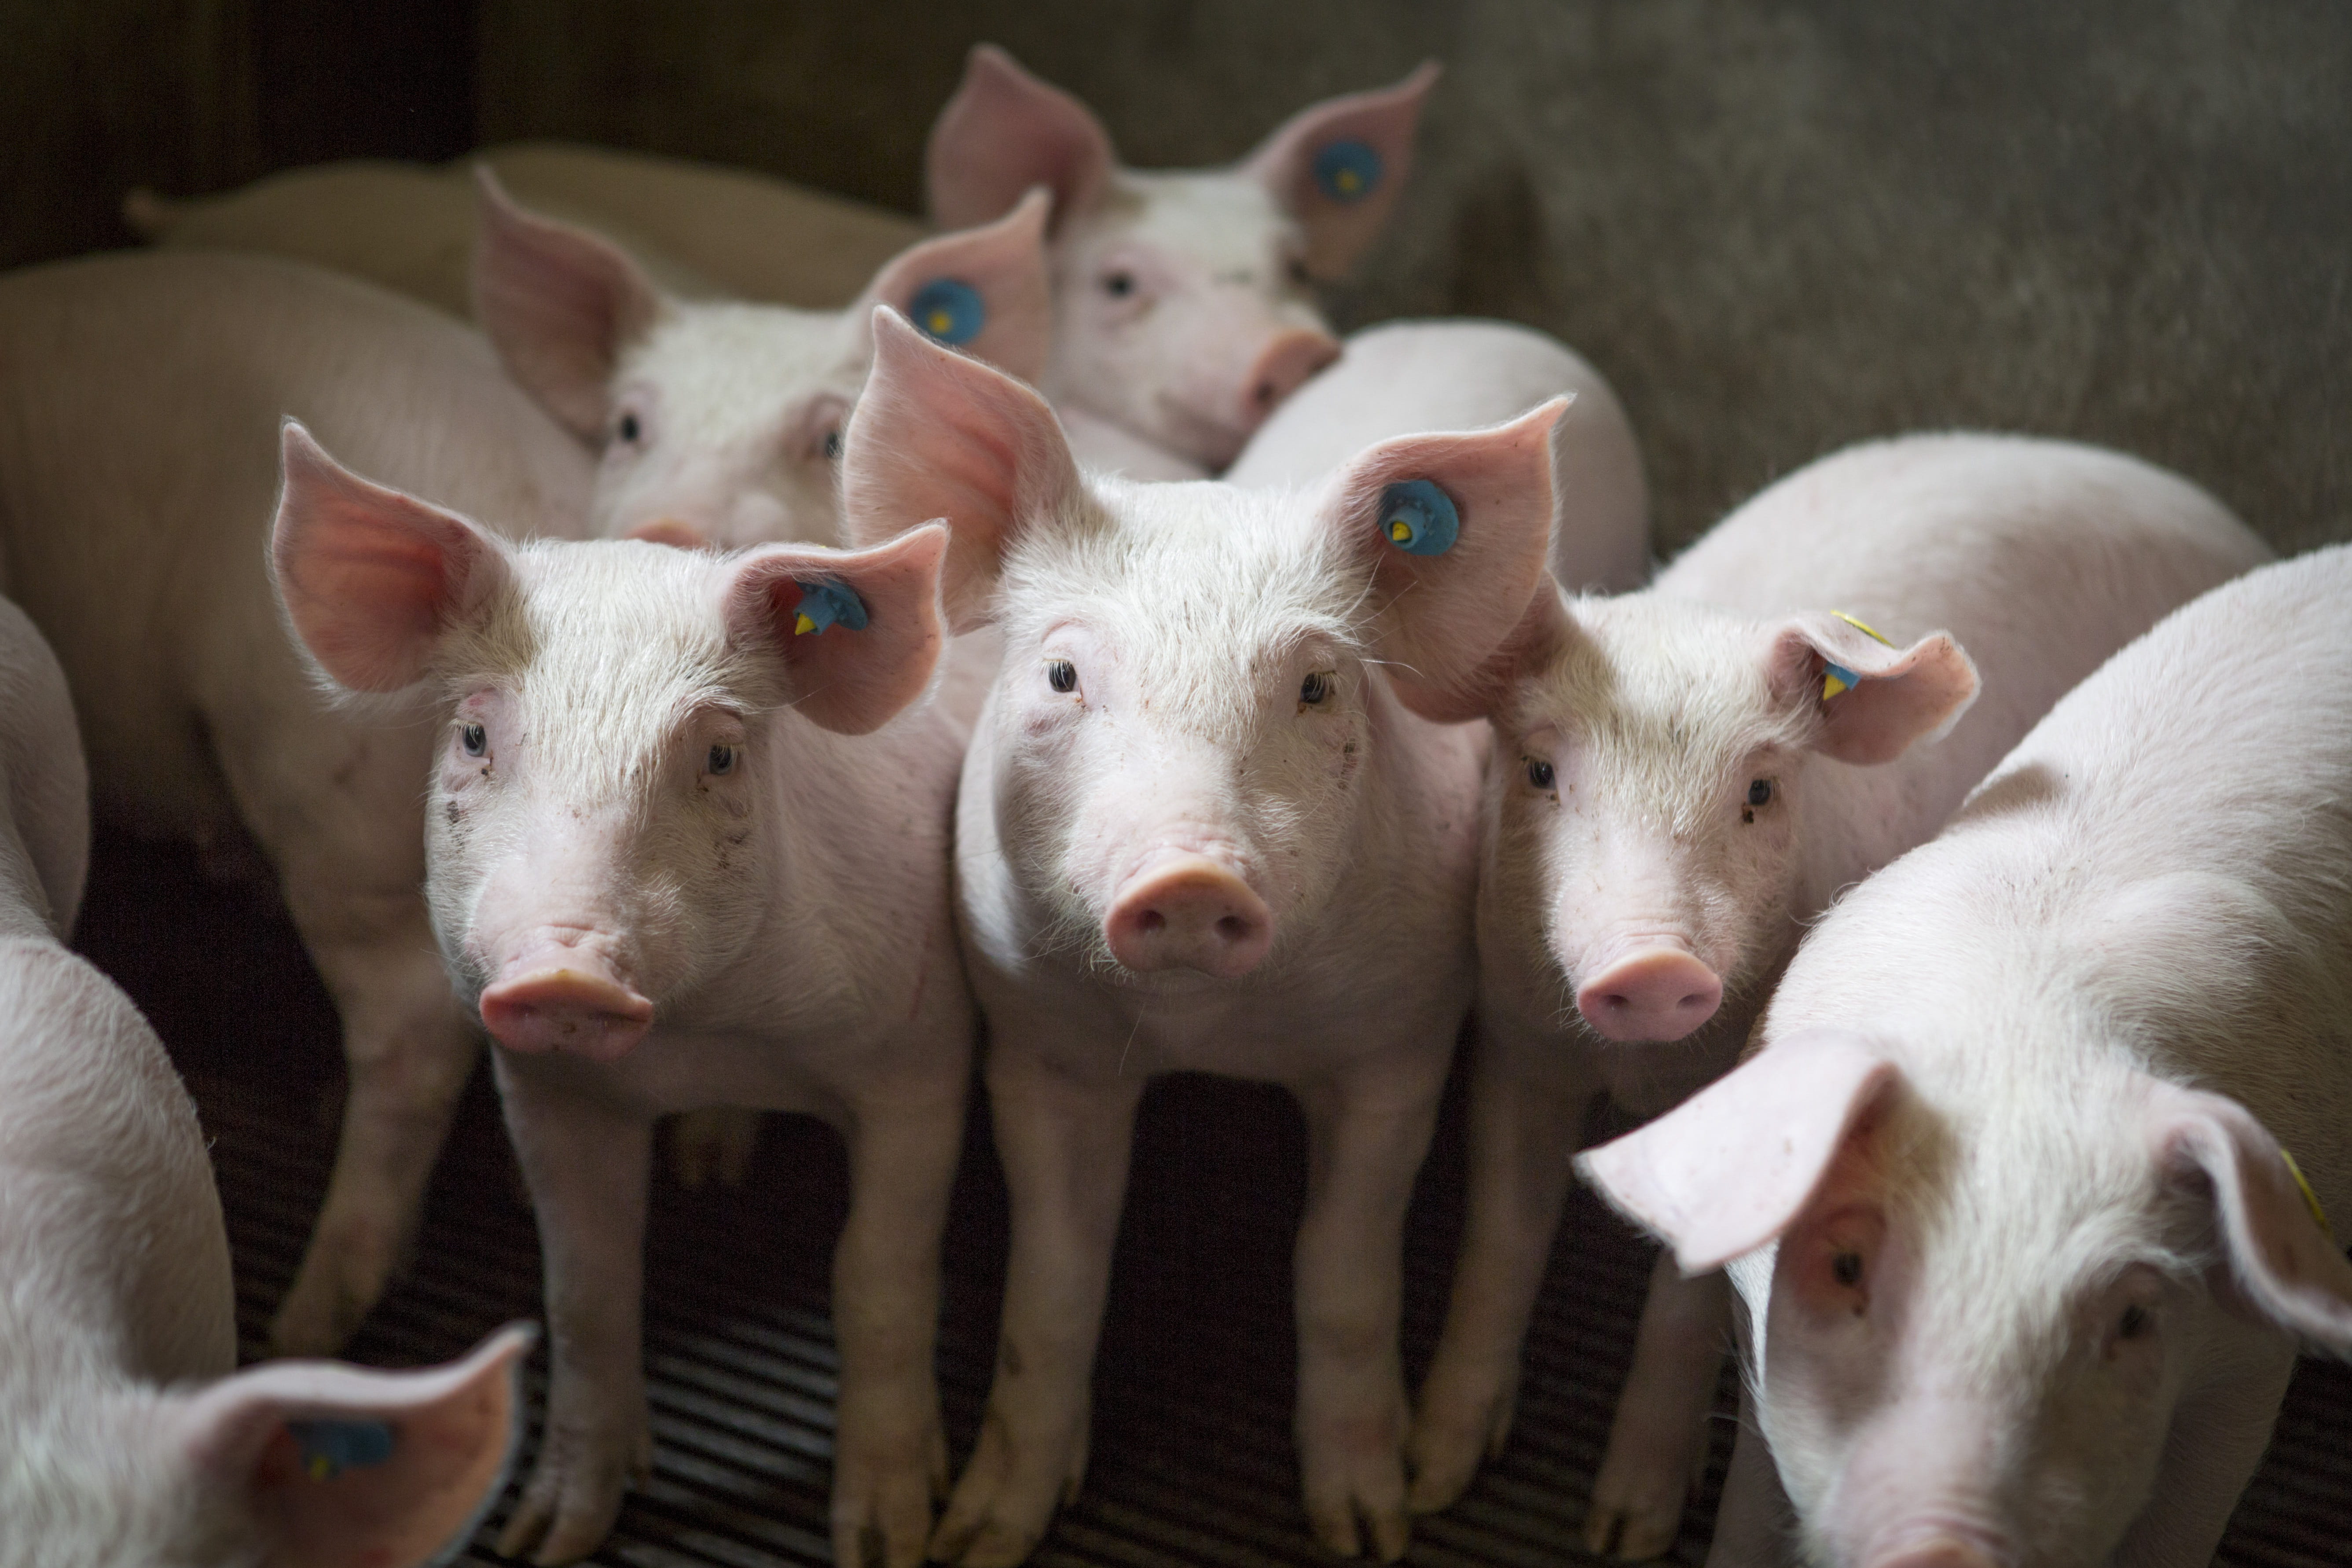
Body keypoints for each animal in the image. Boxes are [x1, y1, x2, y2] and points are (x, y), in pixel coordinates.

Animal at [268, 424, 977, 1568]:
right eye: (474, 738)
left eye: (720, 753)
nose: (566, 968)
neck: (715, 1033)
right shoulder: (544, 1088)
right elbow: (585, 1289)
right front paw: (540, 1537)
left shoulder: (921, 1055)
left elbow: (876, 1277)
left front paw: (891, 1539)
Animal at [831, 307, 1564, 1565]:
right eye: (1062, 673)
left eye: (1317, 686)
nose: (1186, 871)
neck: (1207, 1035)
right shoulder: (1038, 1045)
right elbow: (1058, 1279)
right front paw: (980, 1535)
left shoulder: (1400, 1041)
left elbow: (1340, 1271)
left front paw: (1372, 1526)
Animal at [1403, 435, 2273, 1557]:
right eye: (1540, 770)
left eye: (1759, 792)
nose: (1653, 966)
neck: (1635, 1074)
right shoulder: (1516, 1032)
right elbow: (1499, 1238)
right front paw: (1429, 1486)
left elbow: (1681, 1305)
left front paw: (1625, 1531)